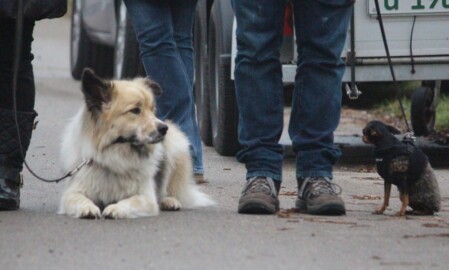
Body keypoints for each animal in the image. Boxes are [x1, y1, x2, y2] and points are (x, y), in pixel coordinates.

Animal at [58, 68, 216, 218]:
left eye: (152, 110)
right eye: (135, 110)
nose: (164, 128)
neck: (114, 155)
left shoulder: (146, 197)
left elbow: (130, 201)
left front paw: (115, 208)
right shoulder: (72, 193)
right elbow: (78, 199)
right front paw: (88, 208)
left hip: (176, 146)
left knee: (167, 190)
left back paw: (169, 201)